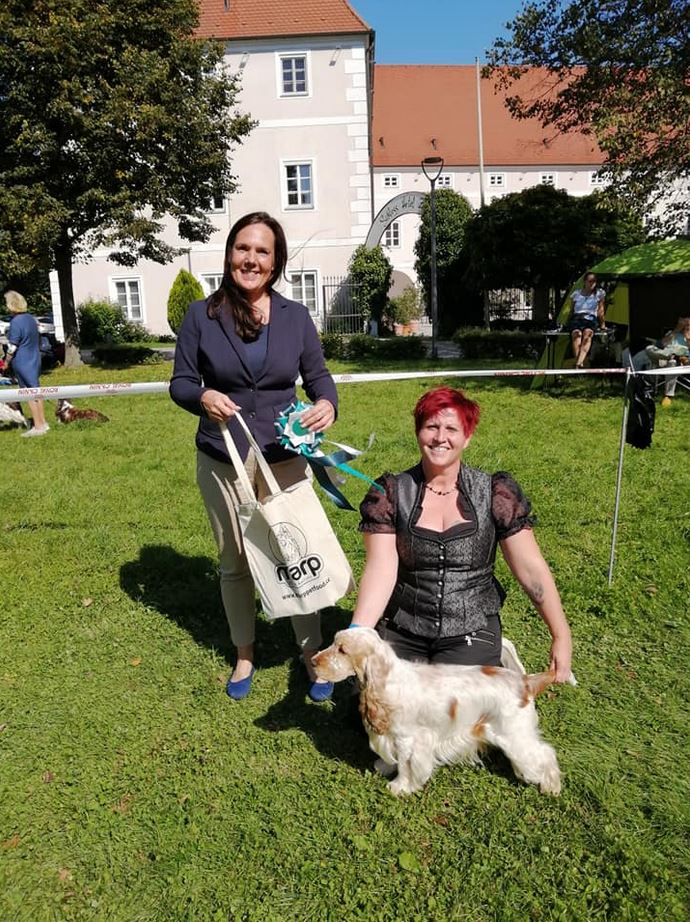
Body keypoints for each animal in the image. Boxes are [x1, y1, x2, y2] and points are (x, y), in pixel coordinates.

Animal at [312, 627, 562, 797]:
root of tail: (525, 682)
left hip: (514, 736)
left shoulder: (408, 740)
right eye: (333, 643)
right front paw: (384, 766)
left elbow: (405, 766)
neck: (387, 680)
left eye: (342, 650)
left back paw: (551, 787)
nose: (313, 661)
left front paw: (399, 787)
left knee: (544, 754)